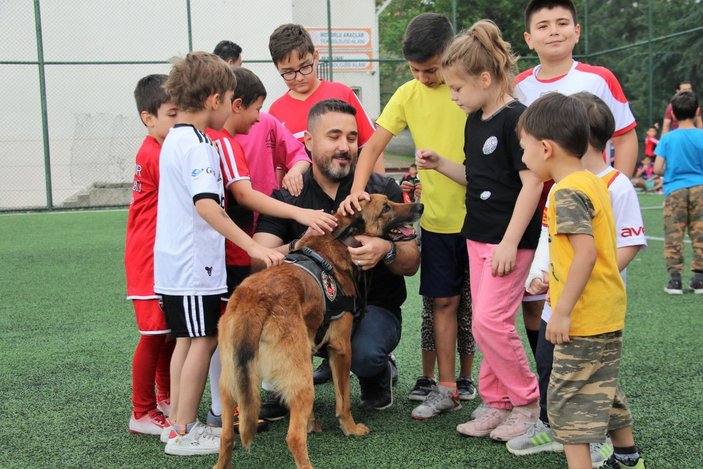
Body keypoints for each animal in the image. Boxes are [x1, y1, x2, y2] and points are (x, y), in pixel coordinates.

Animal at [214, 194, 424, 468]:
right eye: (386, 208)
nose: (420, 206)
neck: (339, 244)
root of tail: (254, 303)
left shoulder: (309, 349)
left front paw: (312, 424)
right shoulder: (342, 349)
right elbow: (343, 399)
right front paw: (350, 428)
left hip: (232, 384)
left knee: (227, 435)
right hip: (301, 382)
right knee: (293, 438)